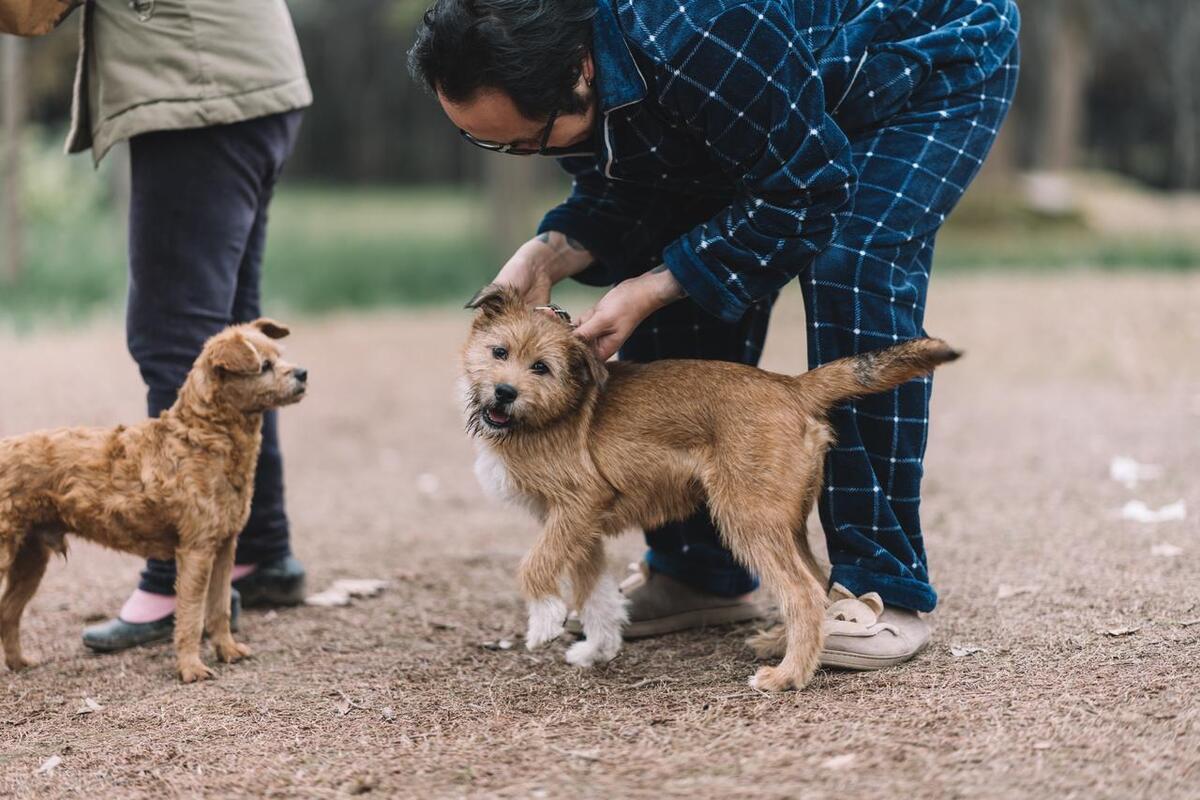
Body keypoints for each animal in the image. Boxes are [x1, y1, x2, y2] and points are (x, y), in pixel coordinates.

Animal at [0, 319, 307, 681]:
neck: (201, 438)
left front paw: (228, 651)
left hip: (31, 556)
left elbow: (218, 608)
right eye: (264, 366)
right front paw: (191, 668)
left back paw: (20, 663)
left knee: (8, 611)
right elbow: (190, 615)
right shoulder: (196, 550)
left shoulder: (224, 546)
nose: (302, 373)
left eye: (280, 356)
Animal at [458, 289, 955, 695]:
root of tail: (791, 387)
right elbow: (594, 593)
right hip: (782, 522)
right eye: (499, 351)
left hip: (747, 520)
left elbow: (533, 566)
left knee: (801, 593)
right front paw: (596, 649)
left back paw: (788, 676)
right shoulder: (581, 530)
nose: (504, 392)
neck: (551, 413)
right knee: (816, 585)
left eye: (541, 367)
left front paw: (543, 620)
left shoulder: (575, 509)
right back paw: (783, 645)